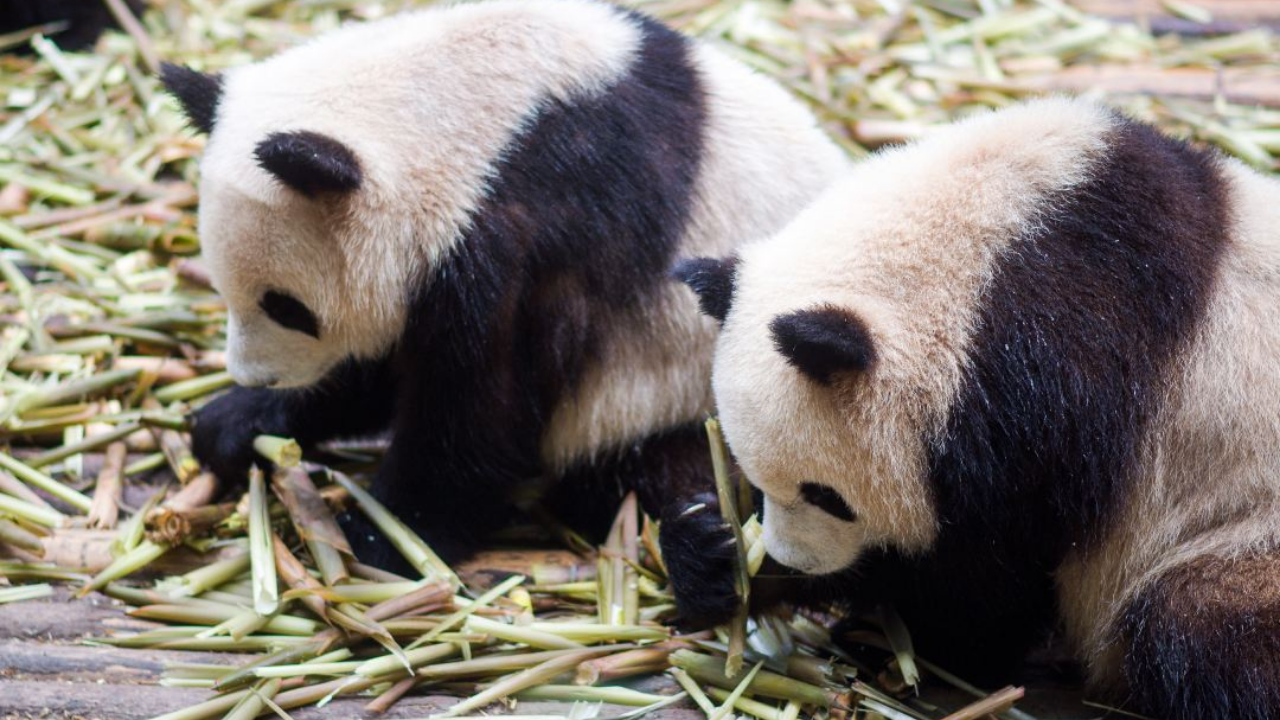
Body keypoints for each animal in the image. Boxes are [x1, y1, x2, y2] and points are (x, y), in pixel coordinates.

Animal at [161, 0, 849, 626]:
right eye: (223, 286)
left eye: (286, 306)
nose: (257, 375)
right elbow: (387, 373)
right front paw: (236, 421)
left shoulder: (538, 228)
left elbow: (484, 416)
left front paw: (385, 535)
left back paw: (706, 555)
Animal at [676, 96, 1280, 720]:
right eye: (756, 480)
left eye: (827, 496)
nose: (794, 559)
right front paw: (713, 550)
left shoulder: (1051, 395)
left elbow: (985, 577)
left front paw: (898, 642)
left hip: (1240, 533)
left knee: (1201, 626)